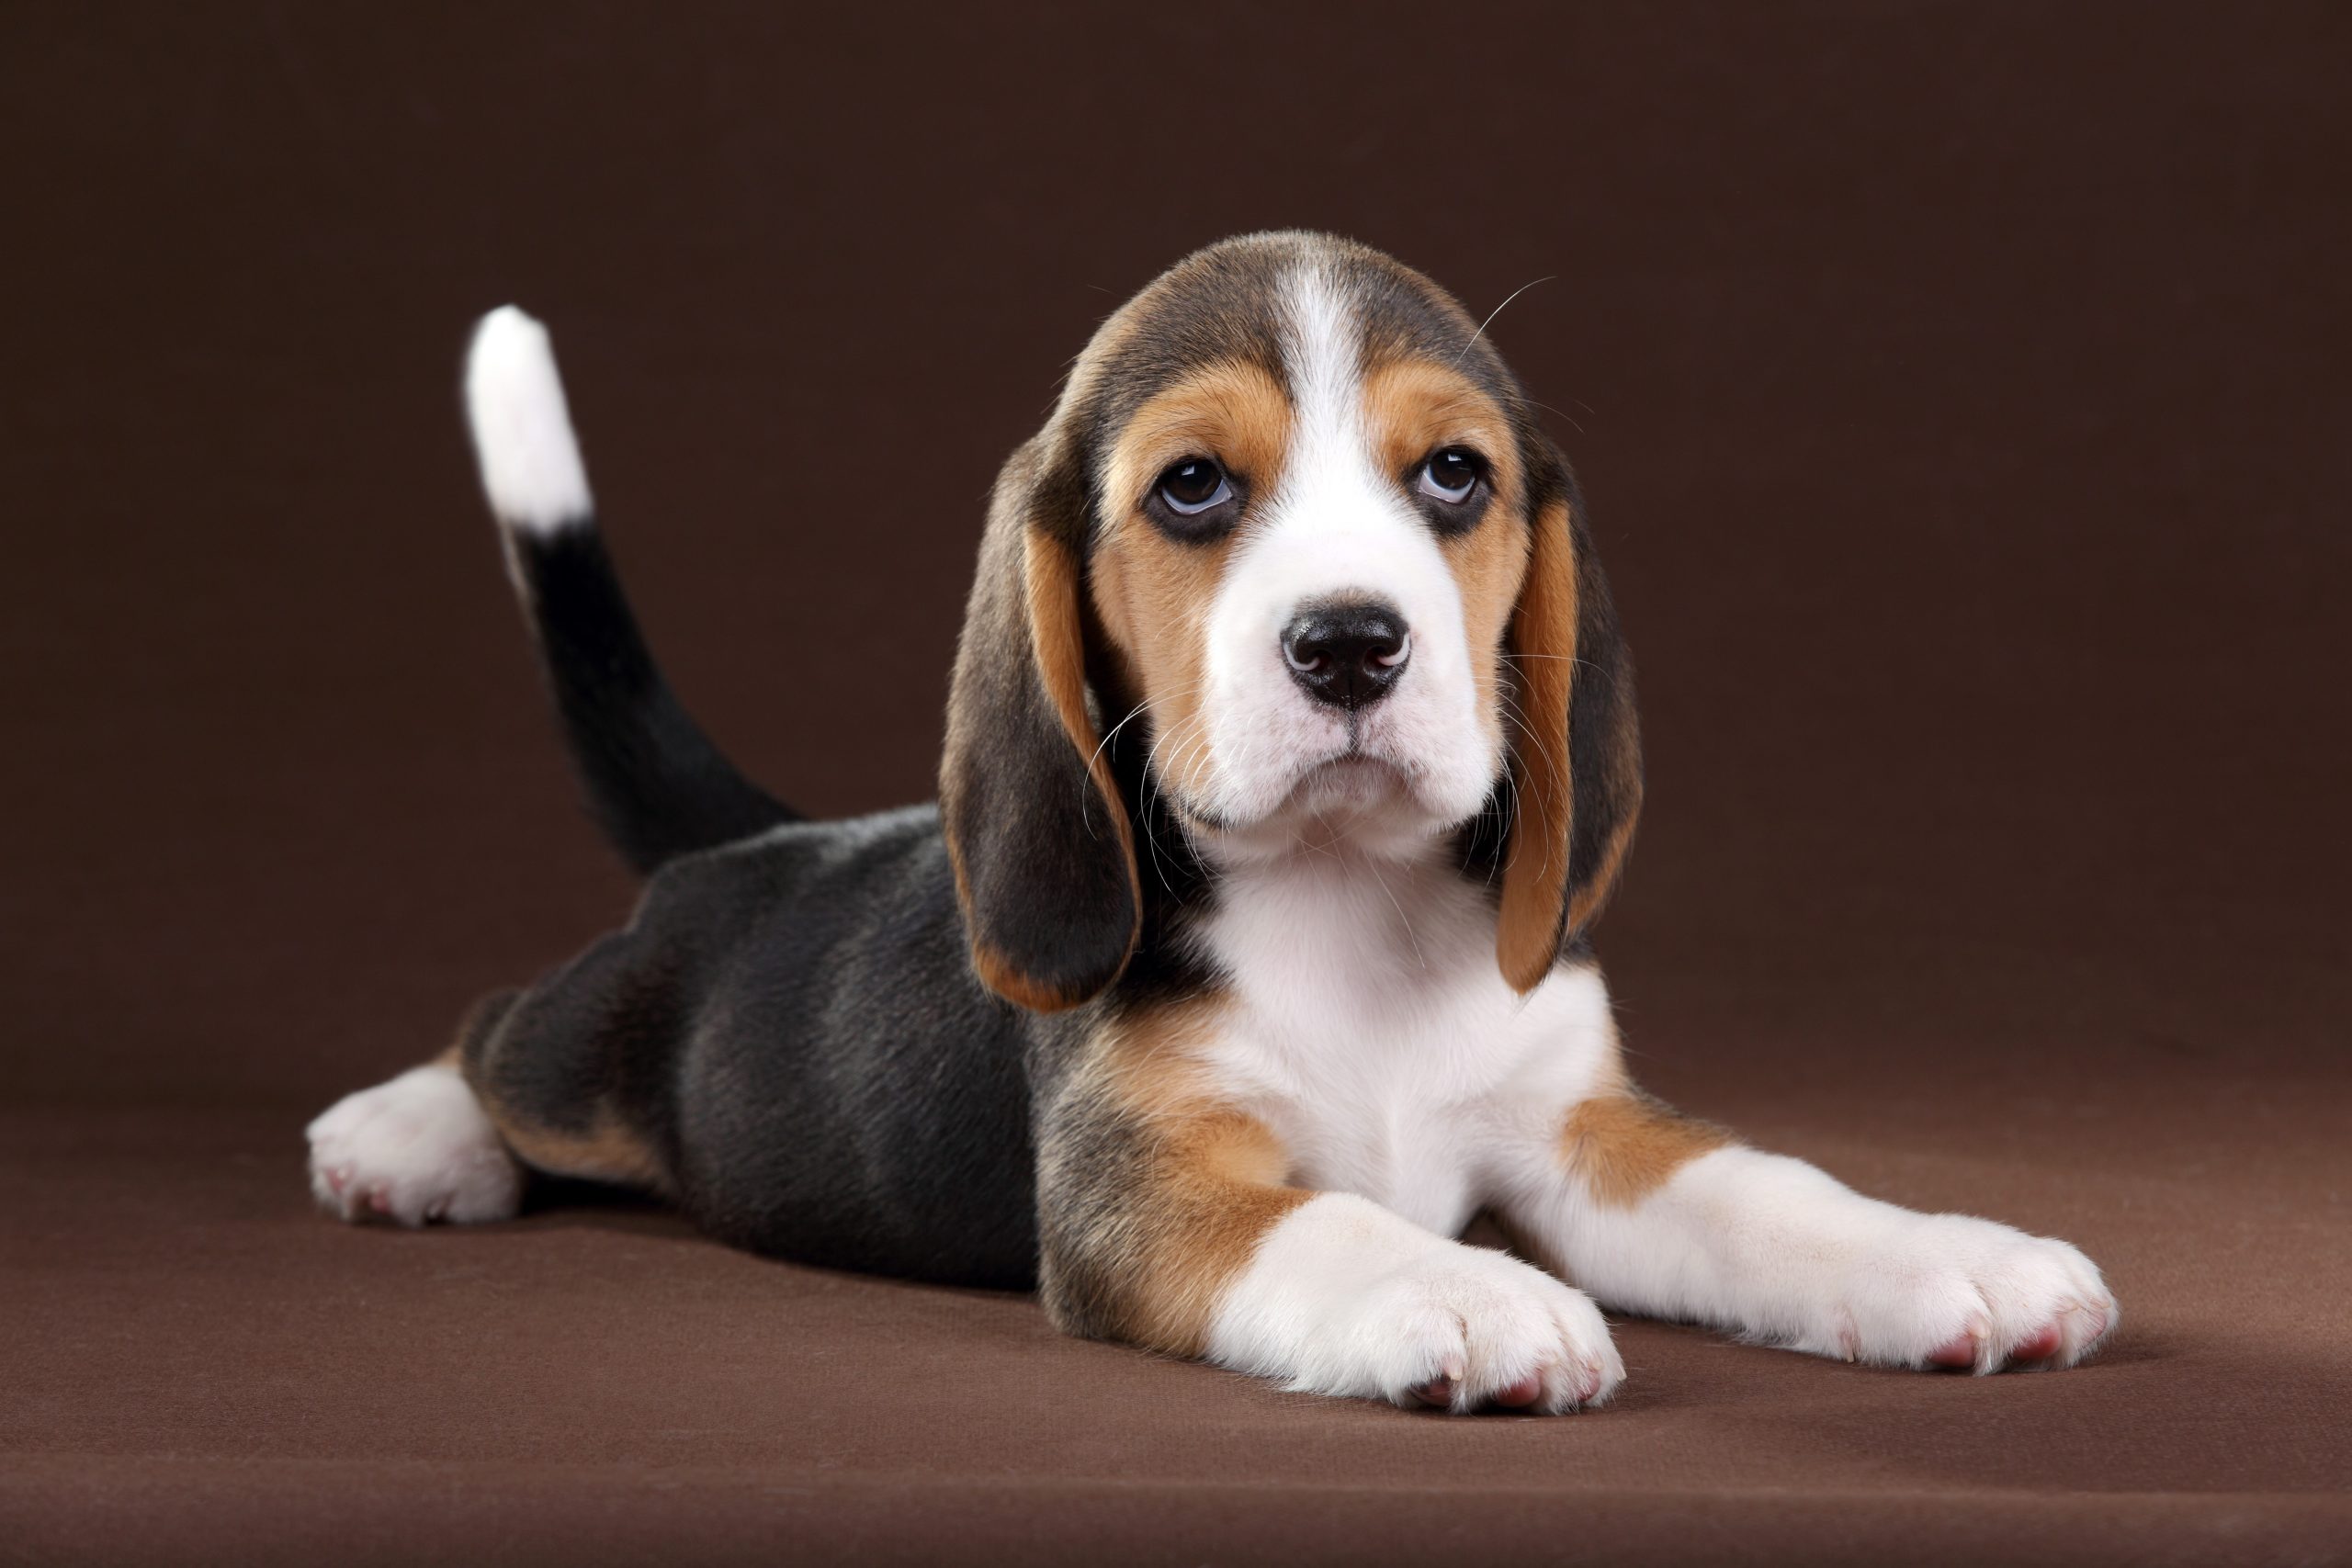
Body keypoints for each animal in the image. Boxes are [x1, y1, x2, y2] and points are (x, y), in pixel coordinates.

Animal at [303, 236, 2126, 1419]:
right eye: (1193, 488)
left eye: (1453, 477)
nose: (1351, 642)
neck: (1349, 908)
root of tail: (769, 846)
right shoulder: (1147, 1192)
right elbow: (1329, 1217)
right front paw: (1471, 1288)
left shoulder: (1575, 1132)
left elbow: (1769, 1184)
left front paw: (1949, 1255)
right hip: (591, 1050)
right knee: (497, 1034)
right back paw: (407, 1135)